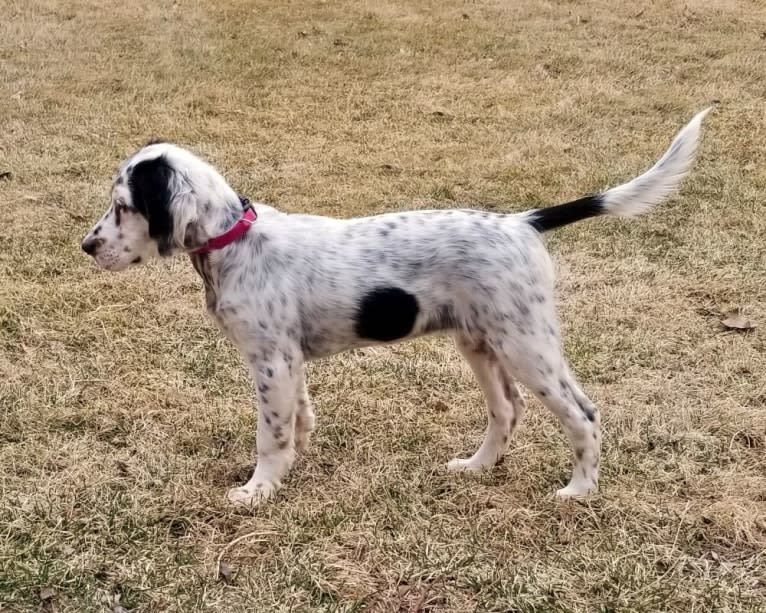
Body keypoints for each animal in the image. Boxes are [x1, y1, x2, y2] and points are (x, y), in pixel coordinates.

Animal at [81, 107, 712, 504]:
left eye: (123, 206)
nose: (86, 246)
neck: (235, 241)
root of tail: (522, 222)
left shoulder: (269, 361)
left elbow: (271, 433)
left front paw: (259, 489)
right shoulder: (288, 360)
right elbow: (298, 418)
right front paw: (291, 467)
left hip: (526, 343)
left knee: (582, 412)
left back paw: (580, 491)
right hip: (480, 342)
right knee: (506, 410)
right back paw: (477, 467)